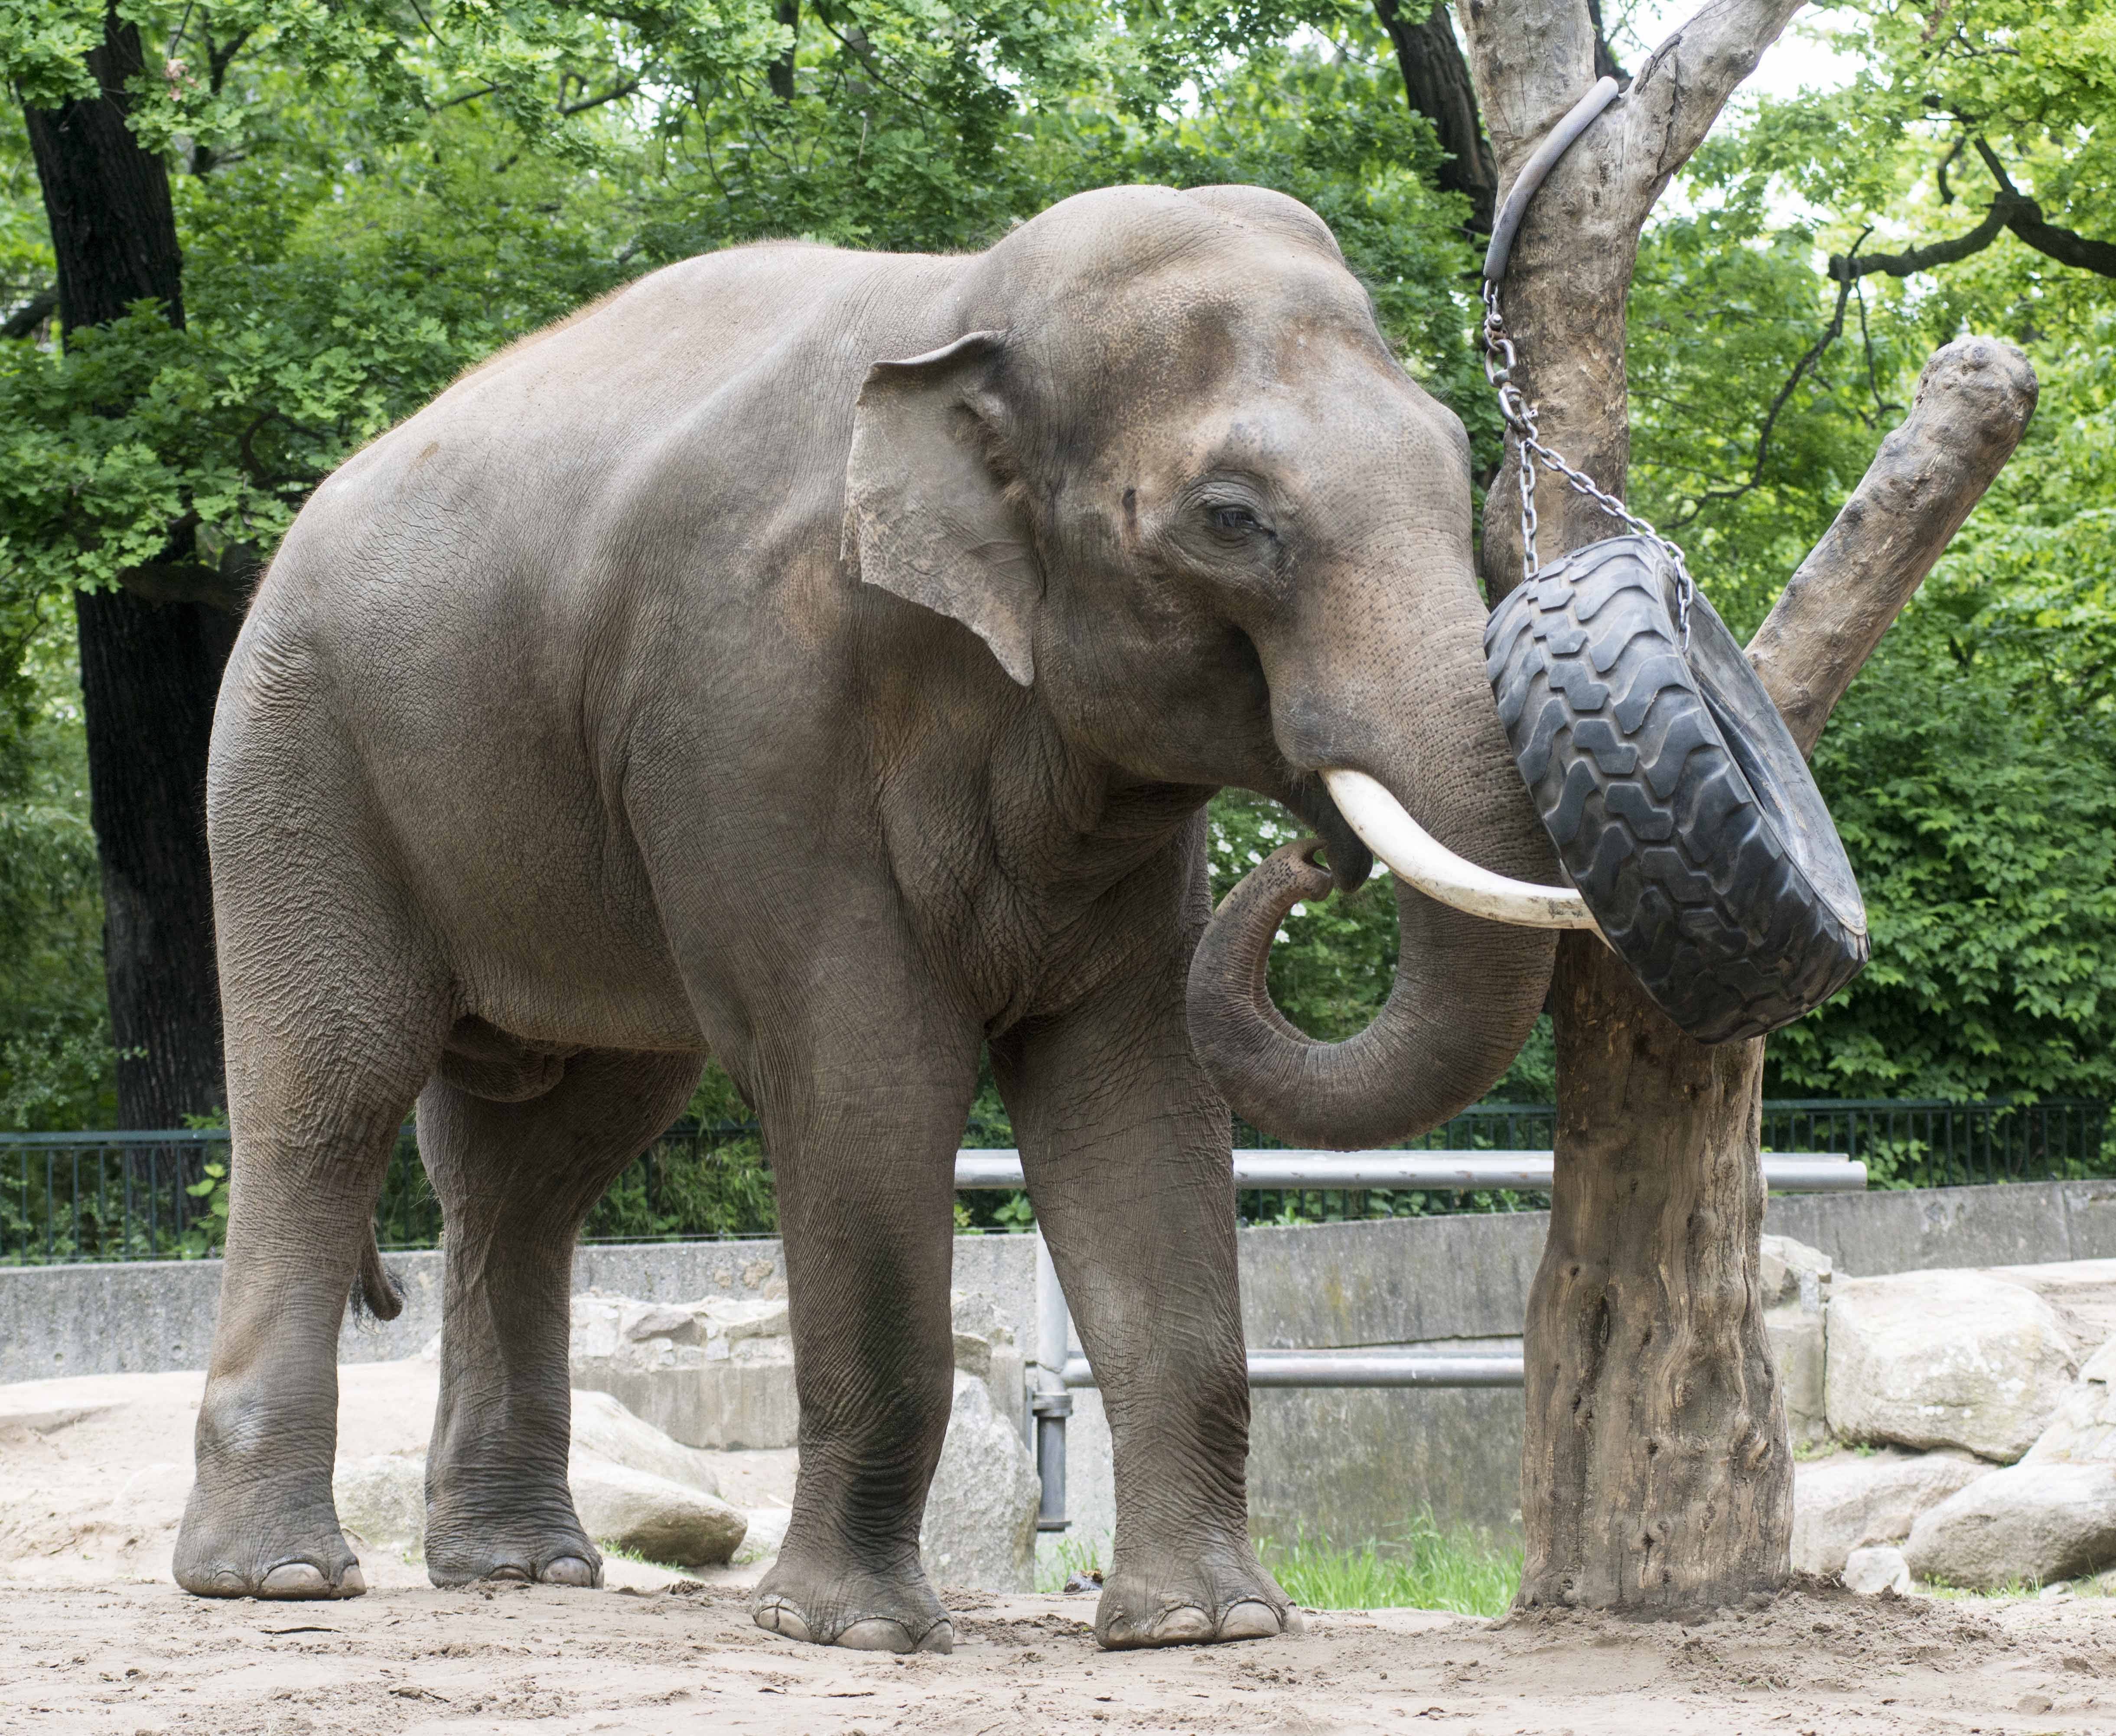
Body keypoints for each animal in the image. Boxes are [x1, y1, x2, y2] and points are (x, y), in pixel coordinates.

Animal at [174, 182, 1589, 1651]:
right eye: (1229, 516)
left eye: (1458, 457)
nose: (1313, 857)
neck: (962, 306)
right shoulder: (752, 704)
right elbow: (866, 1065)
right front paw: (848, 1631)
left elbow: (1131, 1086)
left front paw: (1205, 1625)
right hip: (296, 762)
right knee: (329, 1095)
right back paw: (277, 1577)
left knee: (542, 1159)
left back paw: (521, 1568)